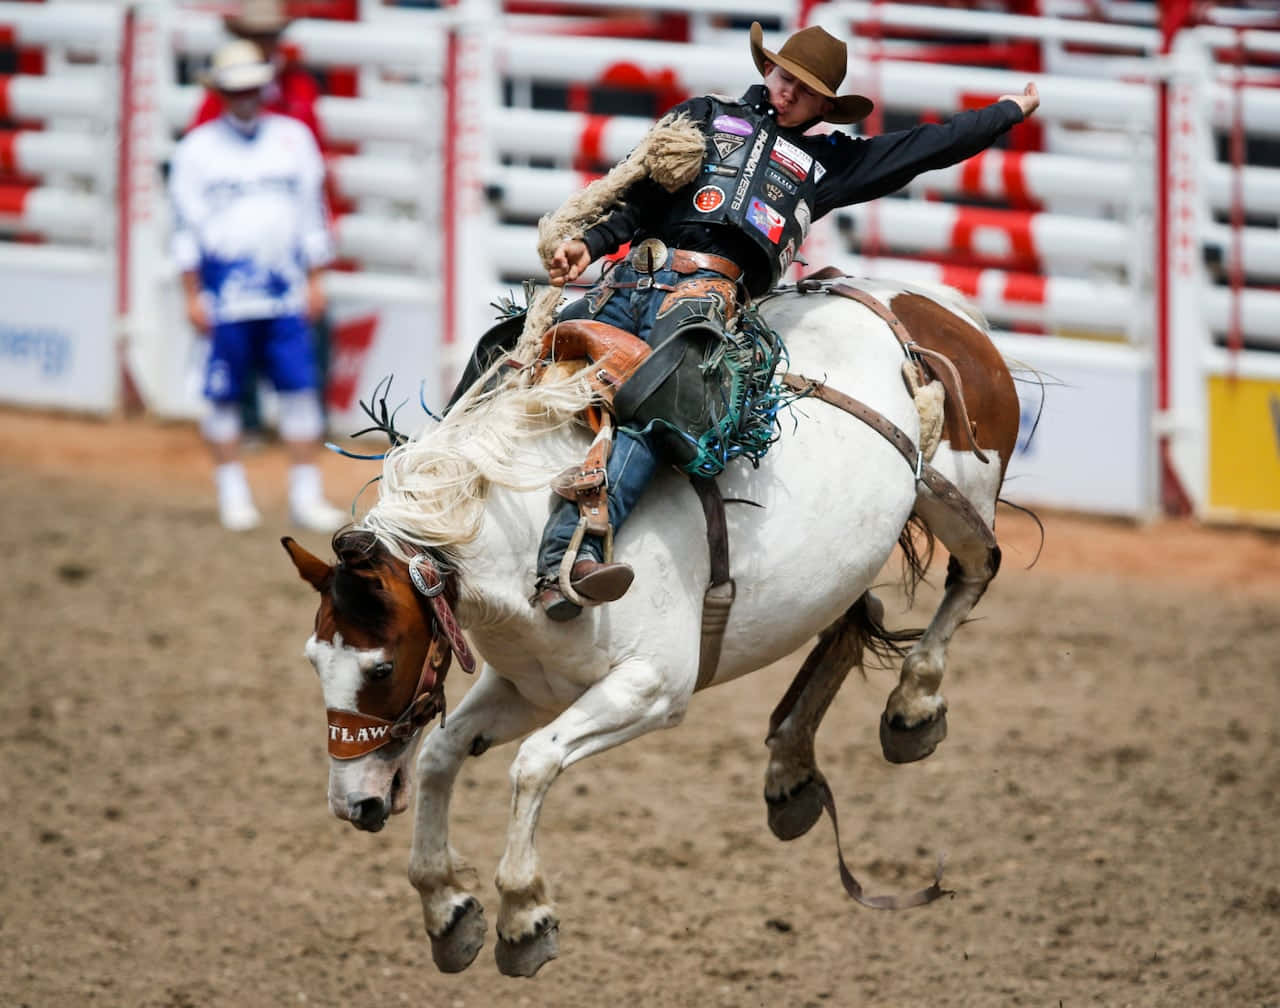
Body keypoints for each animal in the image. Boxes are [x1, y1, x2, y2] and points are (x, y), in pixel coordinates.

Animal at [282, 276, 1020, 977]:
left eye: (381, 667)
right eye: (314, 660)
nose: (354, 806)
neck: (529, 541)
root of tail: (937, 305)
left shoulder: (652, 689)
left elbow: (534, 763)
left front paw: (524, 915)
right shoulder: (530, 689)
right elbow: (440, 753)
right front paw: (447, 908)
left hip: (955, 496)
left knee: (976, 569)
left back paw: (914, 705)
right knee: (852, 620)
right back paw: (790, 769)